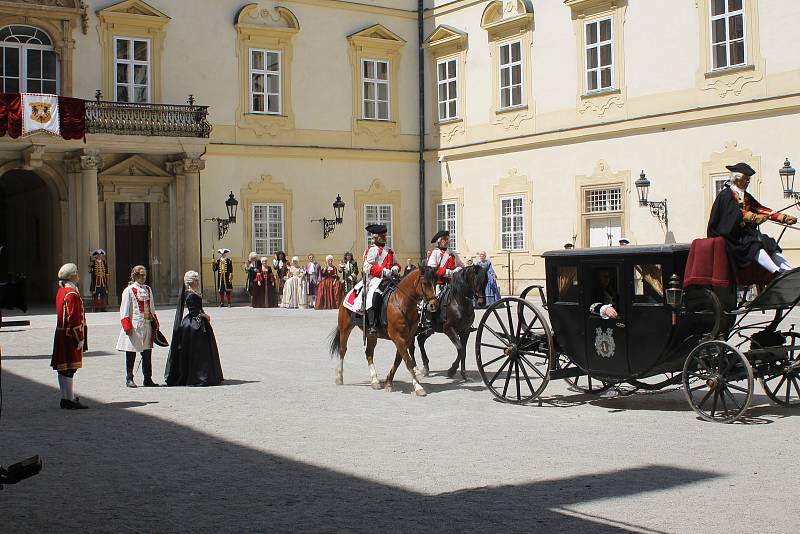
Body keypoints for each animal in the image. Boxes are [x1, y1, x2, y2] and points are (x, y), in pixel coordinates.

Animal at [330, 268, 440, 398]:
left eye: (436, 282)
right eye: (425, 283)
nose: (434, 305)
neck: (402, 302)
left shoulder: (407, 338)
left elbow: (398, 360)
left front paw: (388, 382)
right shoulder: (398, 337)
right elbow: (407, 361)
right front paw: (418, 387)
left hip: (371, 335)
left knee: (369, 353)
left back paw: (375, 380)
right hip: (345, 328)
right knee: (342, 350)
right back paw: (339, 377)